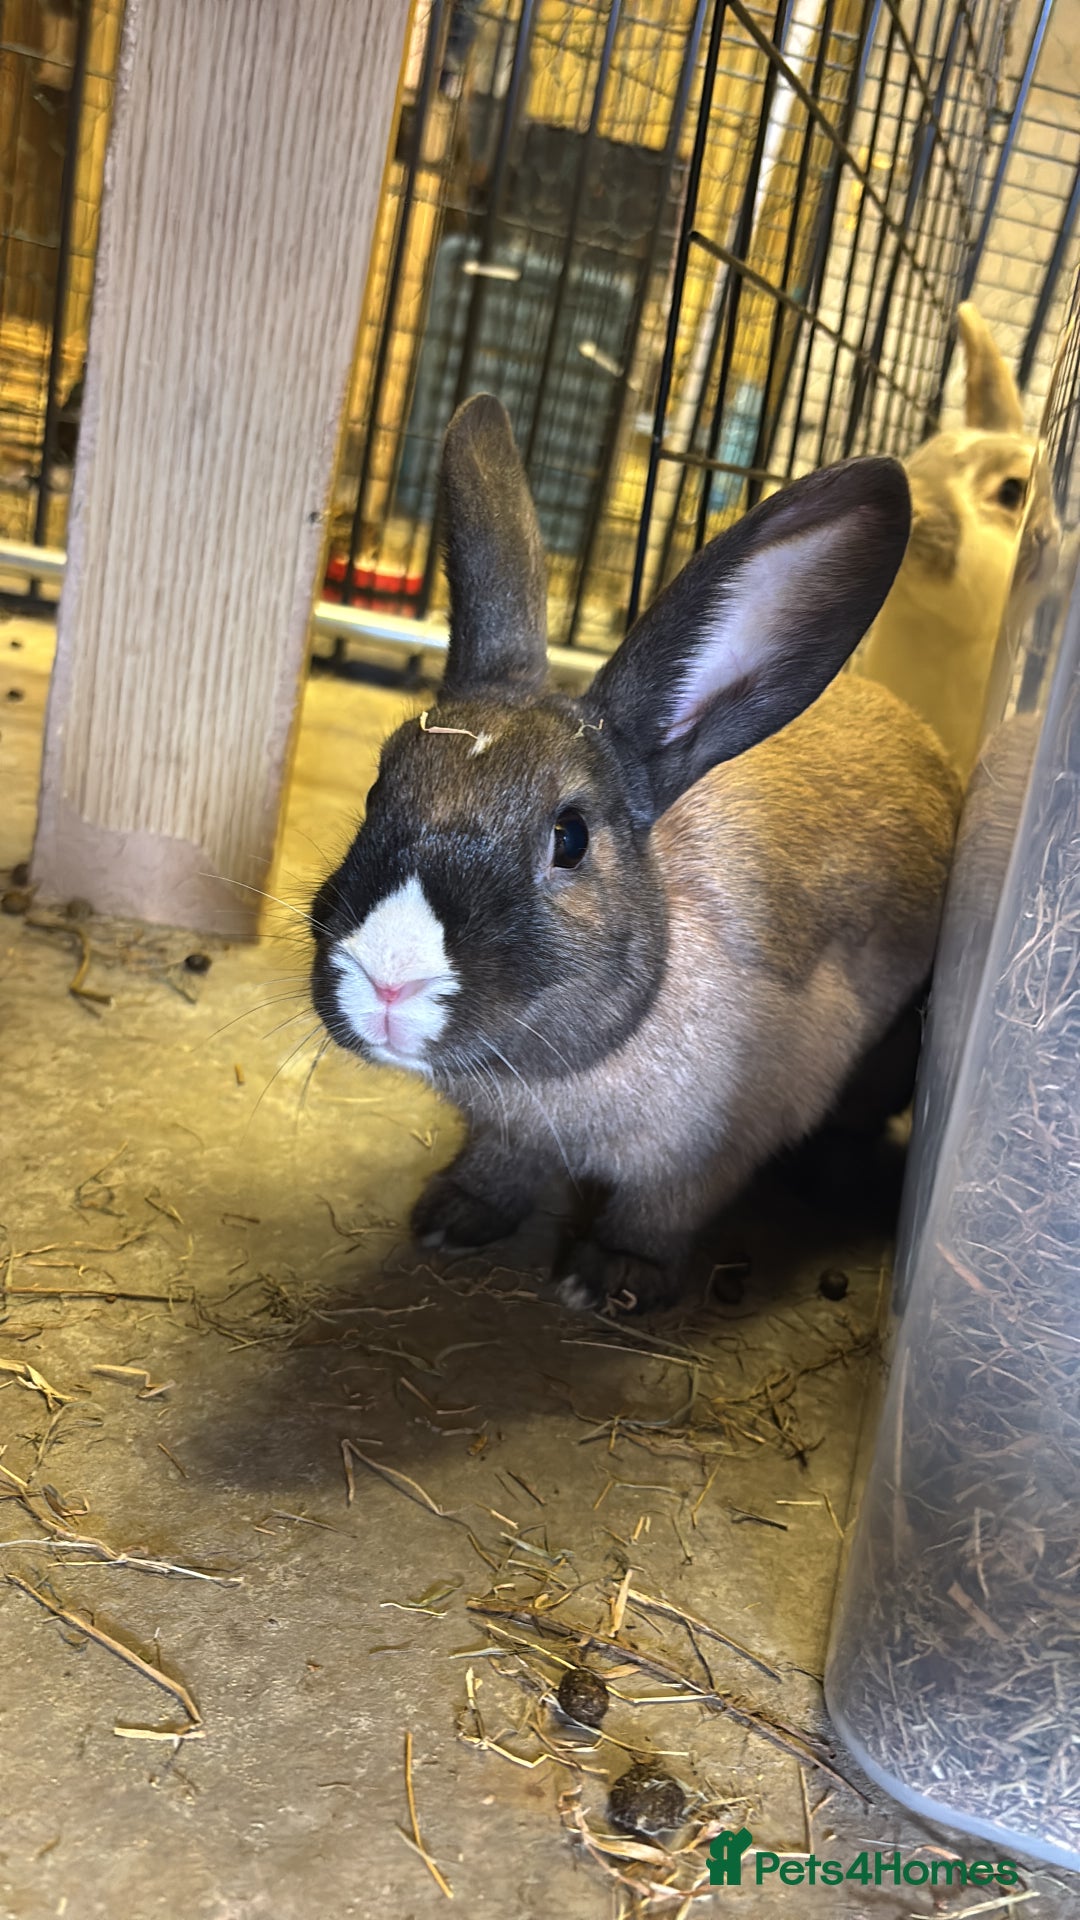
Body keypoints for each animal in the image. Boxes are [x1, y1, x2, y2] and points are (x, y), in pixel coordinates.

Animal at [310, 395, 960, 1314]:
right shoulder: (508, 1133)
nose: (388, 979)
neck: (548, 1083)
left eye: (571, 837)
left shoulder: (707, 1153)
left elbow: (660, 1213)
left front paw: (608, 1282)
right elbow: (500, 1169)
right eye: (378, 788)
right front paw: (449, 1218)